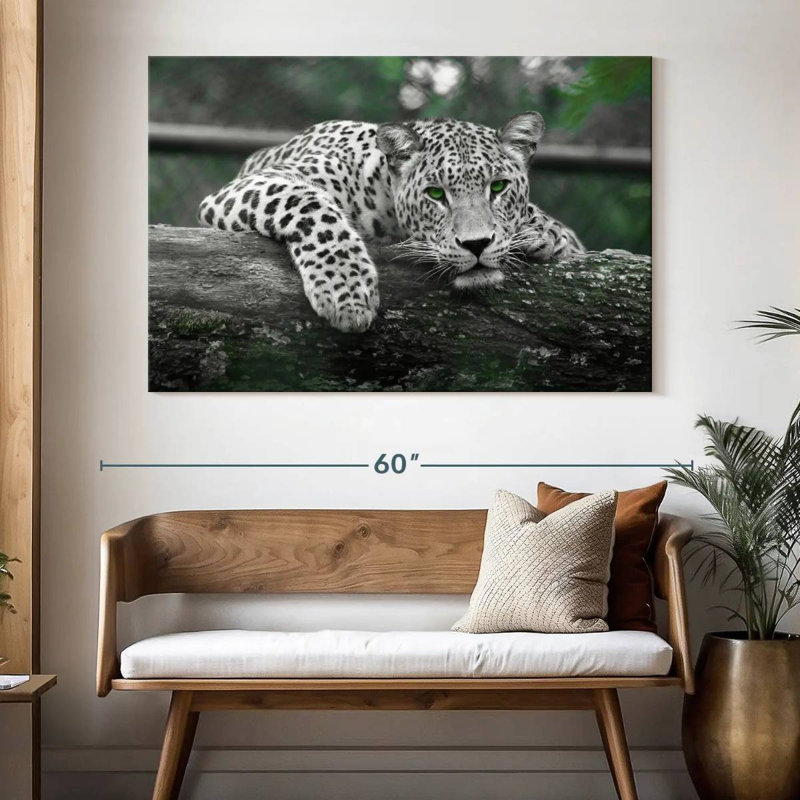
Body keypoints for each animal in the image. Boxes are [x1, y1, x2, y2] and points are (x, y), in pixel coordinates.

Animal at [199, 112, 584, 333]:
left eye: (499, 187)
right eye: (435, 194)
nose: (476, 245)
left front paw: (546, 232)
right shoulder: (252, 185)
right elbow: (311, 205)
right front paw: (347, 290)